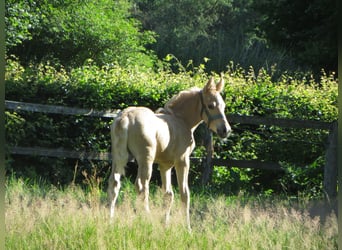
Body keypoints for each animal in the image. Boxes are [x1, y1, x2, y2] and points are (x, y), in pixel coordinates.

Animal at [108, 75, 231, 230]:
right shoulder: (182, 161)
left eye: (223, 106)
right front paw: (188, 228)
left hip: (118, 157)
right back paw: (147, 219)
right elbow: (184, 193)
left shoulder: (165, 165)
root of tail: (126, 117)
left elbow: (168, 194)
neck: (181, 120)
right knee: (142, 186)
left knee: (114, 183)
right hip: (146, 160)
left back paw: (110, 220)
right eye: (211, 106)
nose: (225, 130)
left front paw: (165, 225)